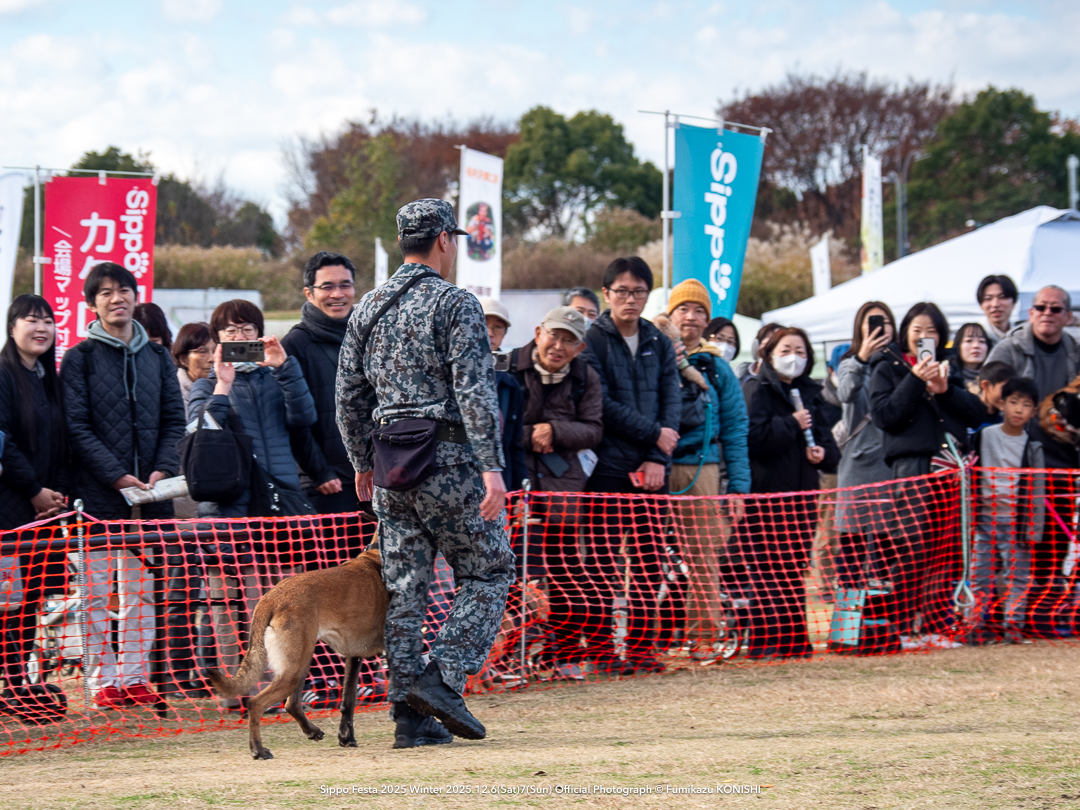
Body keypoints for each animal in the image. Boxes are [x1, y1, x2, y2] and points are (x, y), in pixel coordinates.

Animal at [206, 546, 388, 760]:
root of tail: (270, 598)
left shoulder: (354, 656)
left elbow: (348, 700)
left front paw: (346, 737)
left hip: (299, 664)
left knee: (290, 703)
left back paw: (311, 731)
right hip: (296, 667)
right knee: (255, 703)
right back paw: (258, 749)